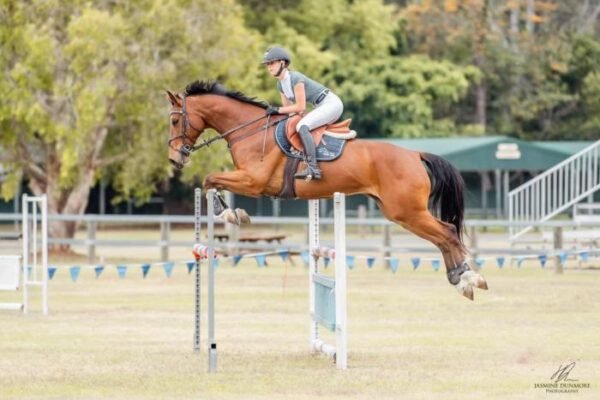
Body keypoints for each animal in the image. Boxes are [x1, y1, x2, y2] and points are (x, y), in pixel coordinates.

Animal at [165, 80, 488, 300]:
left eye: (174, 120)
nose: (174, 158)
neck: (250, 130)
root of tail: (415, 155)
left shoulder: (254, 181)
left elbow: (210, 178)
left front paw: (231, 214)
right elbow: (211, 181)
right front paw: (233, 213)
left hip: (407, 212)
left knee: (447, 233)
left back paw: (467, 279)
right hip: (400, 212)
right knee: (444, 236)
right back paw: (462, 278)